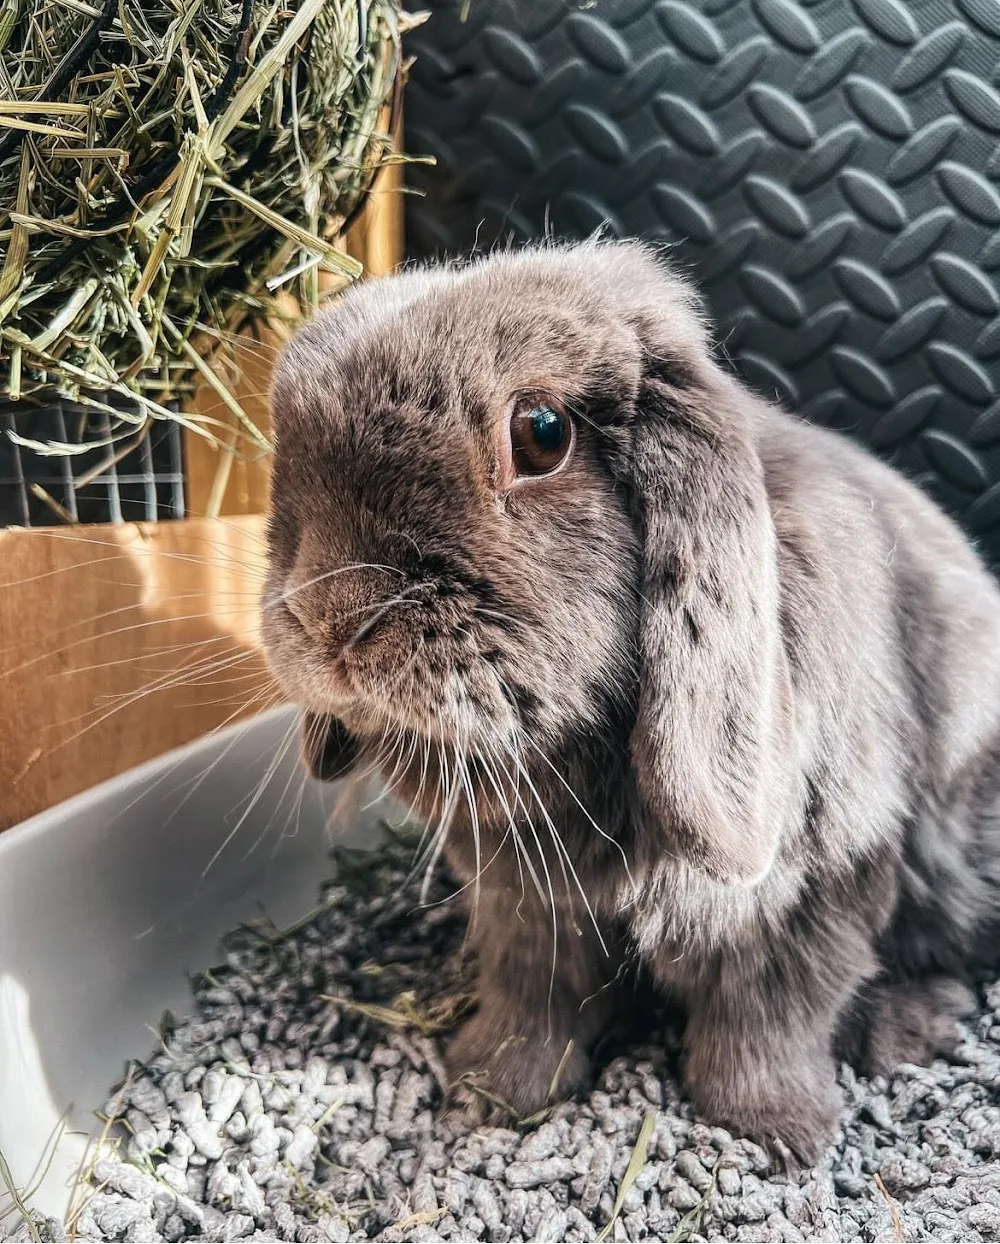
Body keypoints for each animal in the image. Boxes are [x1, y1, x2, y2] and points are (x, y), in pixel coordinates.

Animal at [260, 239, 1000, 1163]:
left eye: (541, 433)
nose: (334, 616)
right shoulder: (527, 904)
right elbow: (532, 997)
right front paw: (490, 1090)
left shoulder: (815, 887)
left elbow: (771, 1015)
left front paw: (776, 1131)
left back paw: (909, 1028)